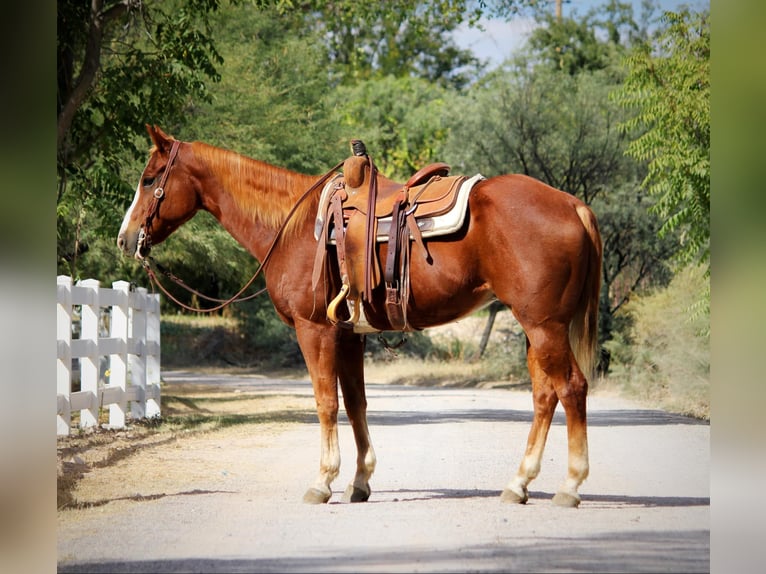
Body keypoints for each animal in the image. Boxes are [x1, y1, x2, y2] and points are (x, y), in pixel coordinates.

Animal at [118, 125, 603, 507]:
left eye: (149, 179)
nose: (125, 238)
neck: (294, 228)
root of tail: (572, 205)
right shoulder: (349, 334)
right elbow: (355, 403)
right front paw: (360, 481)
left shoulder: (315, 330)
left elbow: (326, 403)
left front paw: (322, 481)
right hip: (537, 327)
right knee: (545, 395)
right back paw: (518, 484)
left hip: (544, 326)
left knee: (572, 388)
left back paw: (570, 486)